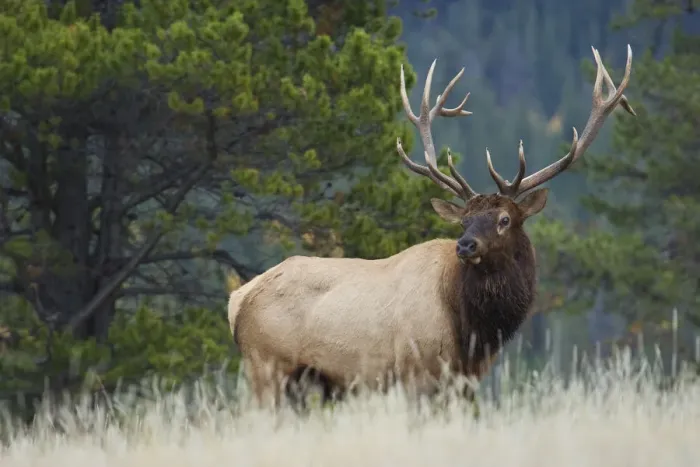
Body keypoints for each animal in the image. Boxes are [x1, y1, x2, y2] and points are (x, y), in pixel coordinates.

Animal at [228, 45, 635, 409]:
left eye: (504, 219)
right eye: (464, 221)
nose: (466, 246)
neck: (473, 330)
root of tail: (238, 300)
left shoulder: (466, 381)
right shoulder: (416, 372)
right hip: (266, 366)